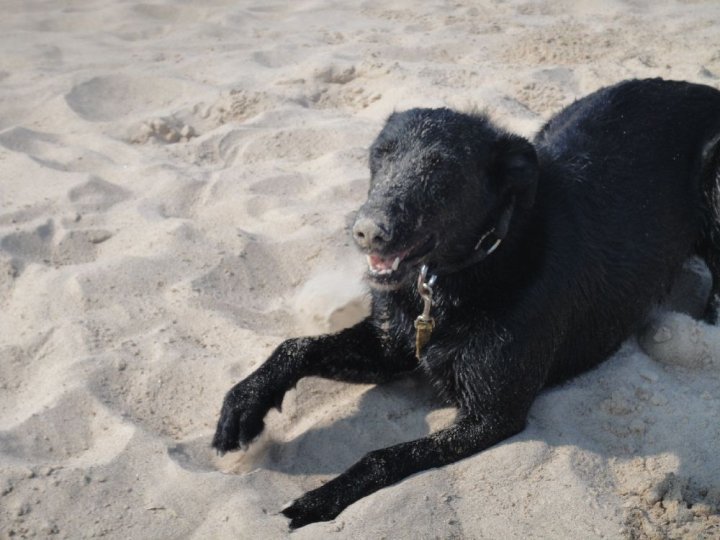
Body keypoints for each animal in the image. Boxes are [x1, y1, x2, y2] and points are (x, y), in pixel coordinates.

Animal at [211, 79, 720, 528]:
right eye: (381, 154)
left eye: (443, 168)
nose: (367, 232)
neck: (459, 273)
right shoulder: (389, 348)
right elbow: (296, 346)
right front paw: (244, 405)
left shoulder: (491, 415)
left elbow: (382, 456)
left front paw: (317, 500)